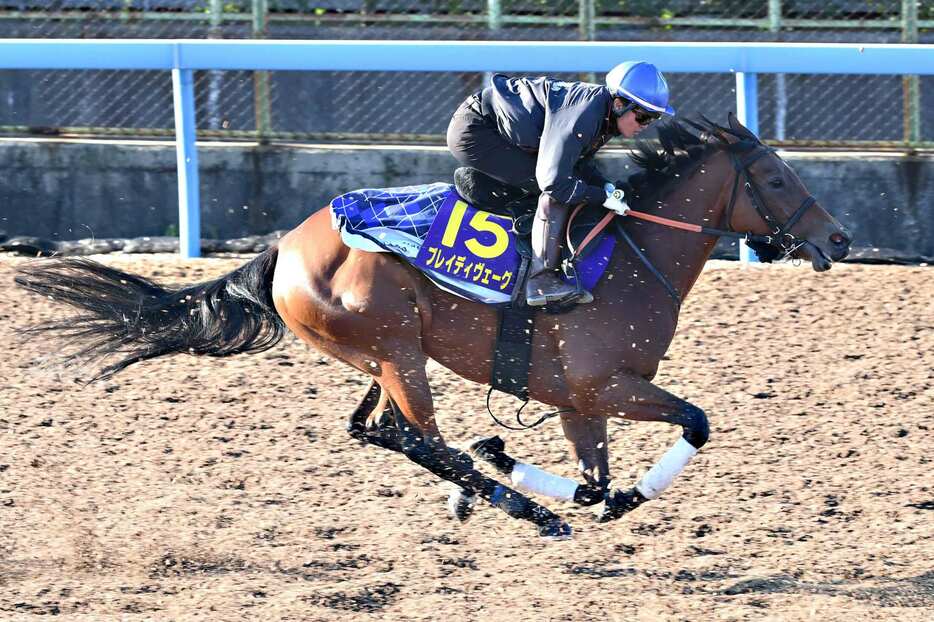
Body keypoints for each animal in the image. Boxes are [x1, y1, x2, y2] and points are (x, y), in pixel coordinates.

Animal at [14, 114, 852, 540]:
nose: (839, 238)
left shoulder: (579, 399)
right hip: (395, 348)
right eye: (775, 178)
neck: (629, 256)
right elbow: (694, 423)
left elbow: (595, 480)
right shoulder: (604, 383)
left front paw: (548, 475)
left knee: (376, 429)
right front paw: (525, 470)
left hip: (380, 357)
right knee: (414, 435)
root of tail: (283, 246)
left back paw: (488, 488)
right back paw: (516, 504)